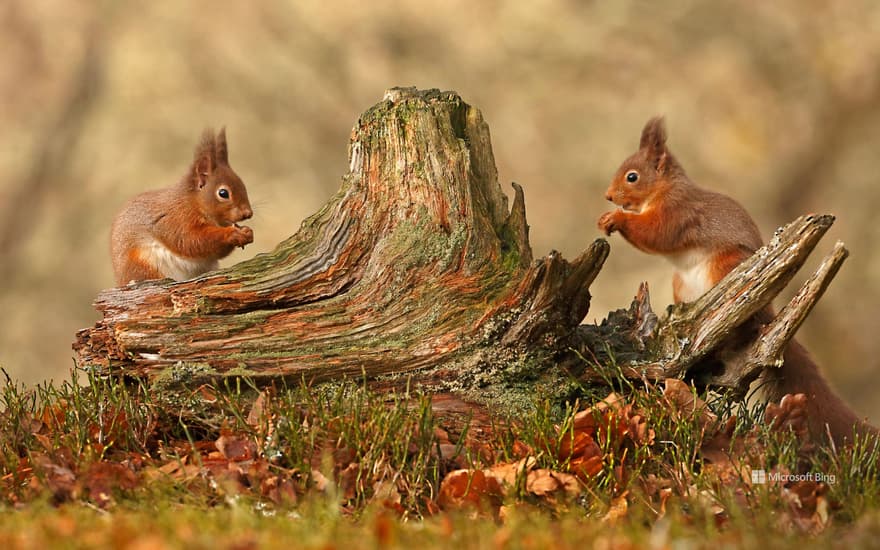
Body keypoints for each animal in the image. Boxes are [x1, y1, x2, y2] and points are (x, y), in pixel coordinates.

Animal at [111, 127, 253, 286]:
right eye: (223, 193)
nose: (248, 213)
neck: (193, 203)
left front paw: (247, 232)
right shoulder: (174, 220)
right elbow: (190, 241)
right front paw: (233, 234)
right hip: (143, 266)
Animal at [600, 117, 872, 448]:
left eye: (632, 177)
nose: (609, 196)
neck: (664, 189)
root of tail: (768, 313)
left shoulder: (679, 211)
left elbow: (657, 233)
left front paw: (615, 219)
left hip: (725, 268)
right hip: (681, 283)